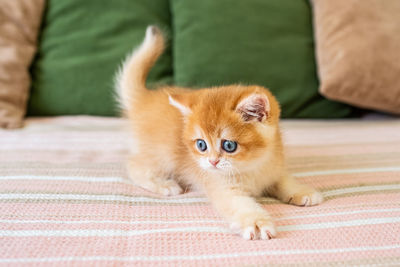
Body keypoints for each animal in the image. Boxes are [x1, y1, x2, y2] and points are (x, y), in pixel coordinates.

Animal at [115, 26, 322, 241]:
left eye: (228, 145)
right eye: (201, 145)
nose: (212, 162)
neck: (253, 166)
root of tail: (145, 97)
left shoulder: (275, 169)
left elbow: (284, 180)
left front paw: (302, 191)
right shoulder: (223, 188)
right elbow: (241, 206)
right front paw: (257, 222)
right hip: (163, 155)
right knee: (134, 165)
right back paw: (164, 185)